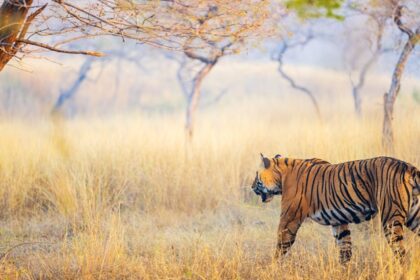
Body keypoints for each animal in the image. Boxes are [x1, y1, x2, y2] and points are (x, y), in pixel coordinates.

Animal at [253, 154, 420, 264]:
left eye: (256, 175)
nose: (252, 187)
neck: (282, 175)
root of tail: (408, 167)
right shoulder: (338, 220)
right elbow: (345, 248)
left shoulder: (289, 218)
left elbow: (281, 245)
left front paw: (273, 267)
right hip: (414, 215)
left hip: (391, 218)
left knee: (401, 252)